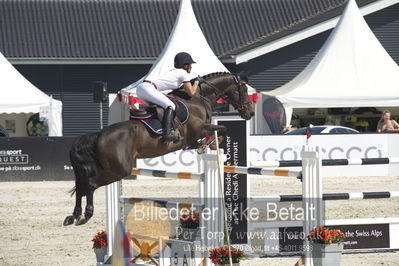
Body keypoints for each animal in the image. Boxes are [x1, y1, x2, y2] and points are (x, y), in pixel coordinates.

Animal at [64, 71, 255, 225]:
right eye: (244, 90)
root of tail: (98, 135)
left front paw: (206, 145)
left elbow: (213, 134)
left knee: (81, 185)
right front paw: (211, 144)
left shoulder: (193, 138)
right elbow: (222, 128)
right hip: (120, 170)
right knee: (90, 184)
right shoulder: (198, 129)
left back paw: (74, 215)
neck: (198, 99)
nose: (250, 113)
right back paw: (86, 215)